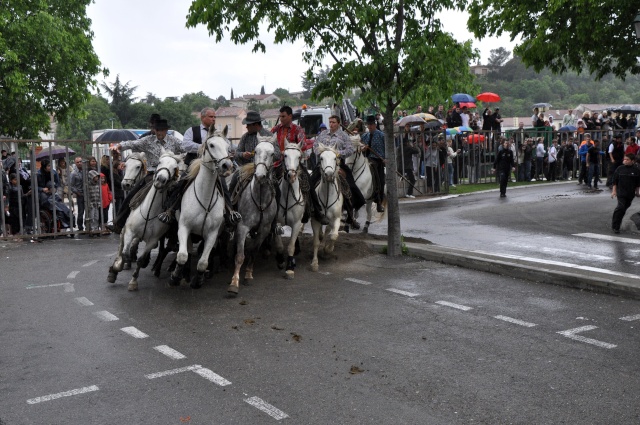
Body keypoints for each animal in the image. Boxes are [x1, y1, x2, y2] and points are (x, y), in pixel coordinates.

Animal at [107, 150, 182, 292]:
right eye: (159, 162)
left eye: (175, 167)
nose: (160, 180)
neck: (149, 212)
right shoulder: (130, 232)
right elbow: (125, 253)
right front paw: (116, 268)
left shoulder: (152, 241)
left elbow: (140, 260)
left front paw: (133, 281)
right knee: (121, 244)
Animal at [170, 126, 232, 288]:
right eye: (211, 145)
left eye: (228, 146)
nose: (226, 166)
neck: (205, 198)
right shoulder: (184, 227)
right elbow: (183, 255)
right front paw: (175, 276)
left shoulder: (212, 233)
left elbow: (203, 262)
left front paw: (198, 279)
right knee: (188, 251)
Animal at [231, 137, 278, 294]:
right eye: (256, 151)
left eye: (272, 153)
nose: (260, 176)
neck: (260, 199)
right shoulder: (243, 226)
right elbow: (240, 256)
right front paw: (234, 283)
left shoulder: (264, 229)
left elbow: (254, 251)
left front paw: (248, 274)